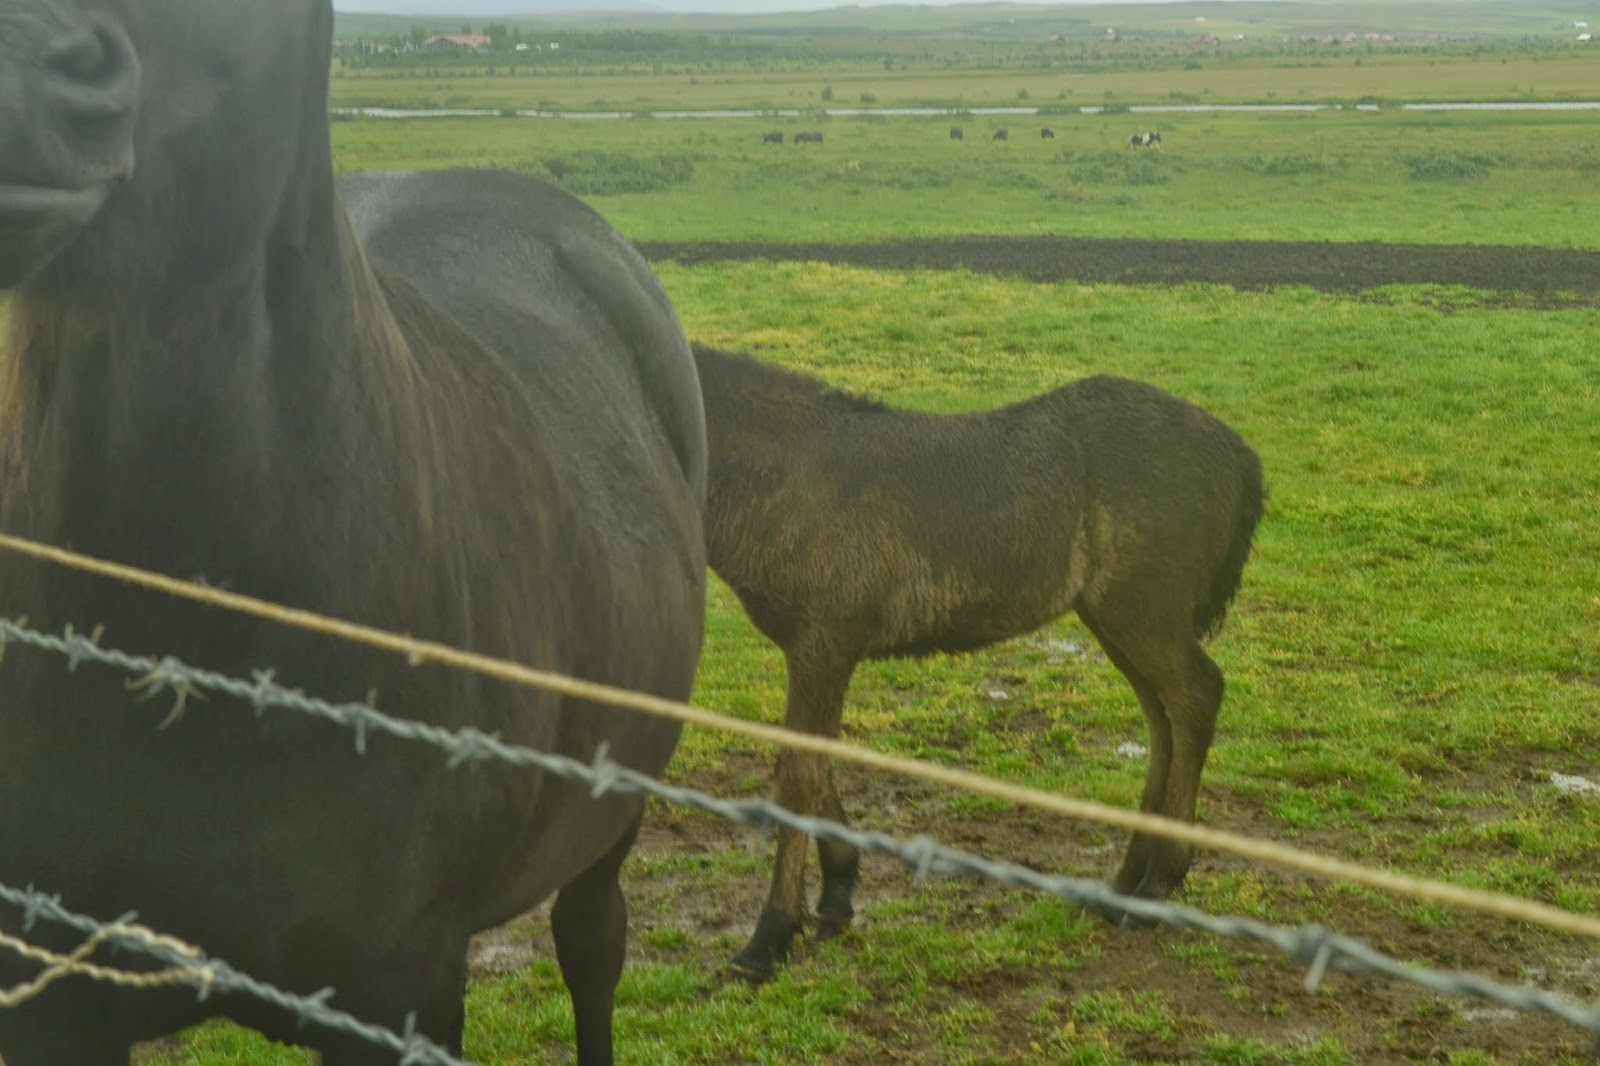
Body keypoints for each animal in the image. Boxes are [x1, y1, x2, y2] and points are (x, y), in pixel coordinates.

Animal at [691, 346, 1263, 982]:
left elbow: (799, 774)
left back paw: (1159, 884)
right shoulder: (814, 649)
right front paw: (838, 889)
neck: (785, 476)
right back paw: (1123, 883)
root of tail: (1237, 452)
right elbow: (808, 761)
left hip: (1145, 610)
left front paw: (768, 938)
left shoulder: (824, 641)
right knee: (1162, 721)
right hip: (1115, 617)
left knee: (1195, 697)